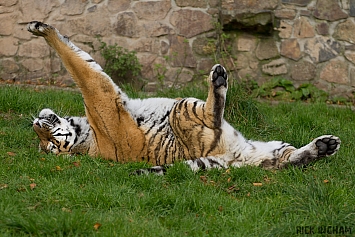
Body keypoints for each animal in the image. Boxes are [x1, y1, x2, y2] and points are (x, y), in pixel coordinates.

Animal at [27, 21, 342, 175]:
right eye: (51, 143)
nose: (37, 124)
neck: (86, 134)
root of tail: (232, 159)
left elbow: (76, 56)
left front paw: (36, 26)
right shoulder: (99, 94)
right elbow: (78, 65)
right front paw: (43, 30)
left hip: (270, 148)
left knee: (288, 161)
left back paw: (323, 146)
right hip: (184, 109)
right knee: (213, 113)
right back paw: (218, 79)